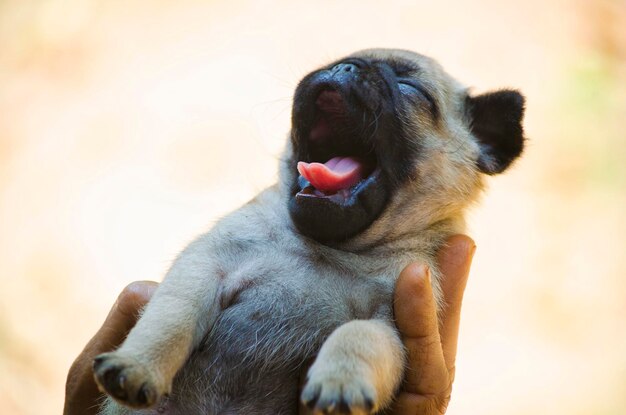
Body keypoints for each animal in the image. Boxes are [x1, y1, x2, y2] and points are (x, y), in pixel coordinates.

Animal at [91, 47, 520, 414]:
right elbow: (171, 318)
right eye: (338, 61)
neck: (331, 249)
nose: (346, 68)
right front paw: (138, 364)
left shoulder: (393, 324)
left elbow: (359, 335)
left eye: (411, 89)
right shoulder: (207, 267)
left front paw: (340, 382)